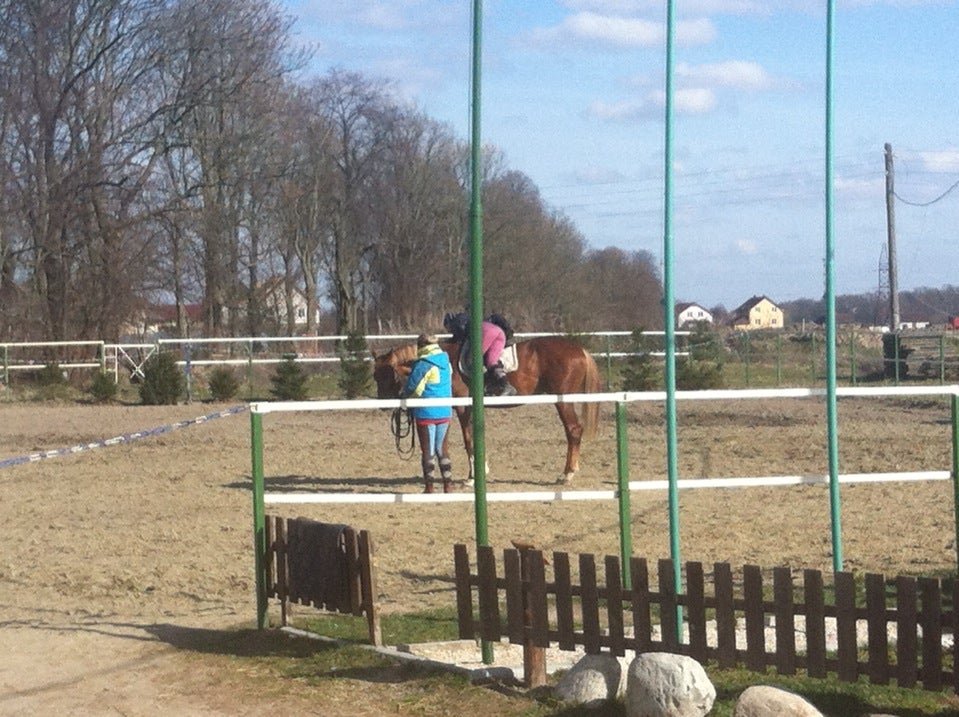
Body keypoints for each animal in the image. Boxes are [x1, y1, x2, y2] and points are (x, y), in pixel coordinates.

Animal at [374, 338, 600, 484]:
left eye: (389, 375)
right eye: (376, 376)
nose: (383, 404)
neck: (443, 362)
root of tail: (580, 350)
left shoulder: (463, 408)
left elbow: (469, 440)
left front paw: (473, 477)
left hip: (563, 402)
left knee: (573, 430)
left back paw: (567, 474)